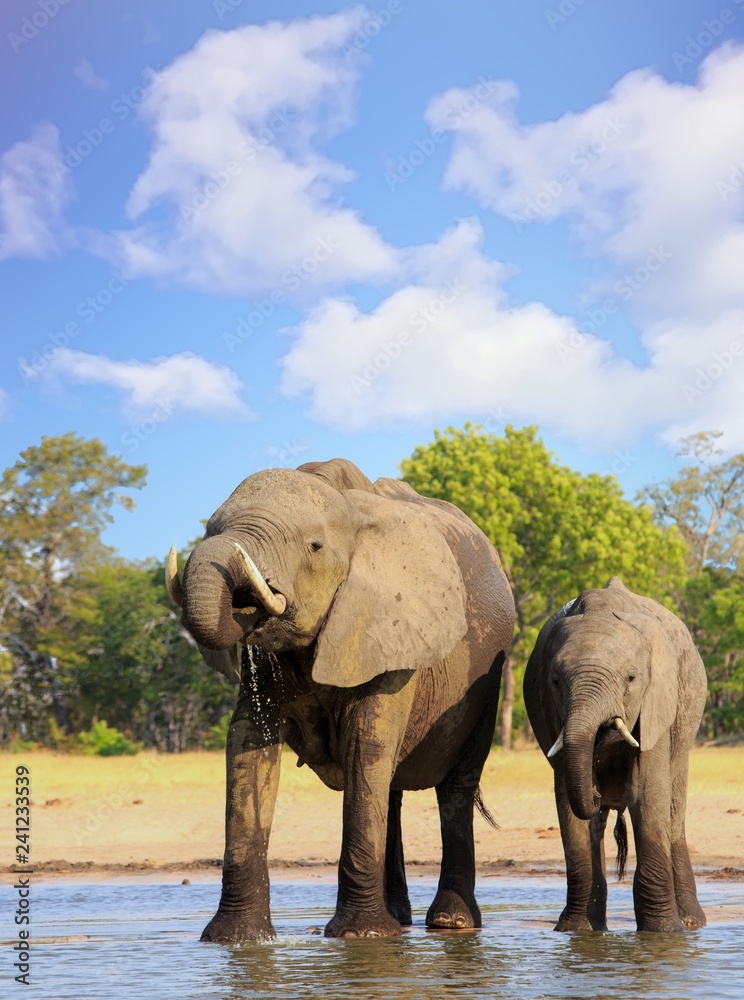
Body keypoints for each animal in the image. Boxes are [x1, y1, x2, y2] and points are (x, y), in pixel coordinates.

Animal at [166, 458, 514, 941]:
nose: (245, 602)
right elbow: (248, 746)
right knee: (390, 790)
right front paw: (236, 940)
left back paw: (450, 923)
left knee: (454, 788)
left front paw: (359, 937)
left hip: (486, 684)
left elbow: (364, 743)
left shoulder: (393, 632)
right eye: (210, 530)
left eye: (313, 546)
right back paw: (398, 920)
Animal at [523, 577, 707, 933]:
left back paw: (692, 923)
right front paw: (576, 931)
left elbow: (646, 793)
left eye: (631, 678)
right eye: (555, 681)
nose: (599, 792)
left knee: (673, 814)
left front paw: (662, 932)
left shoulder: (656, 703)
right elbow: (568, 805)